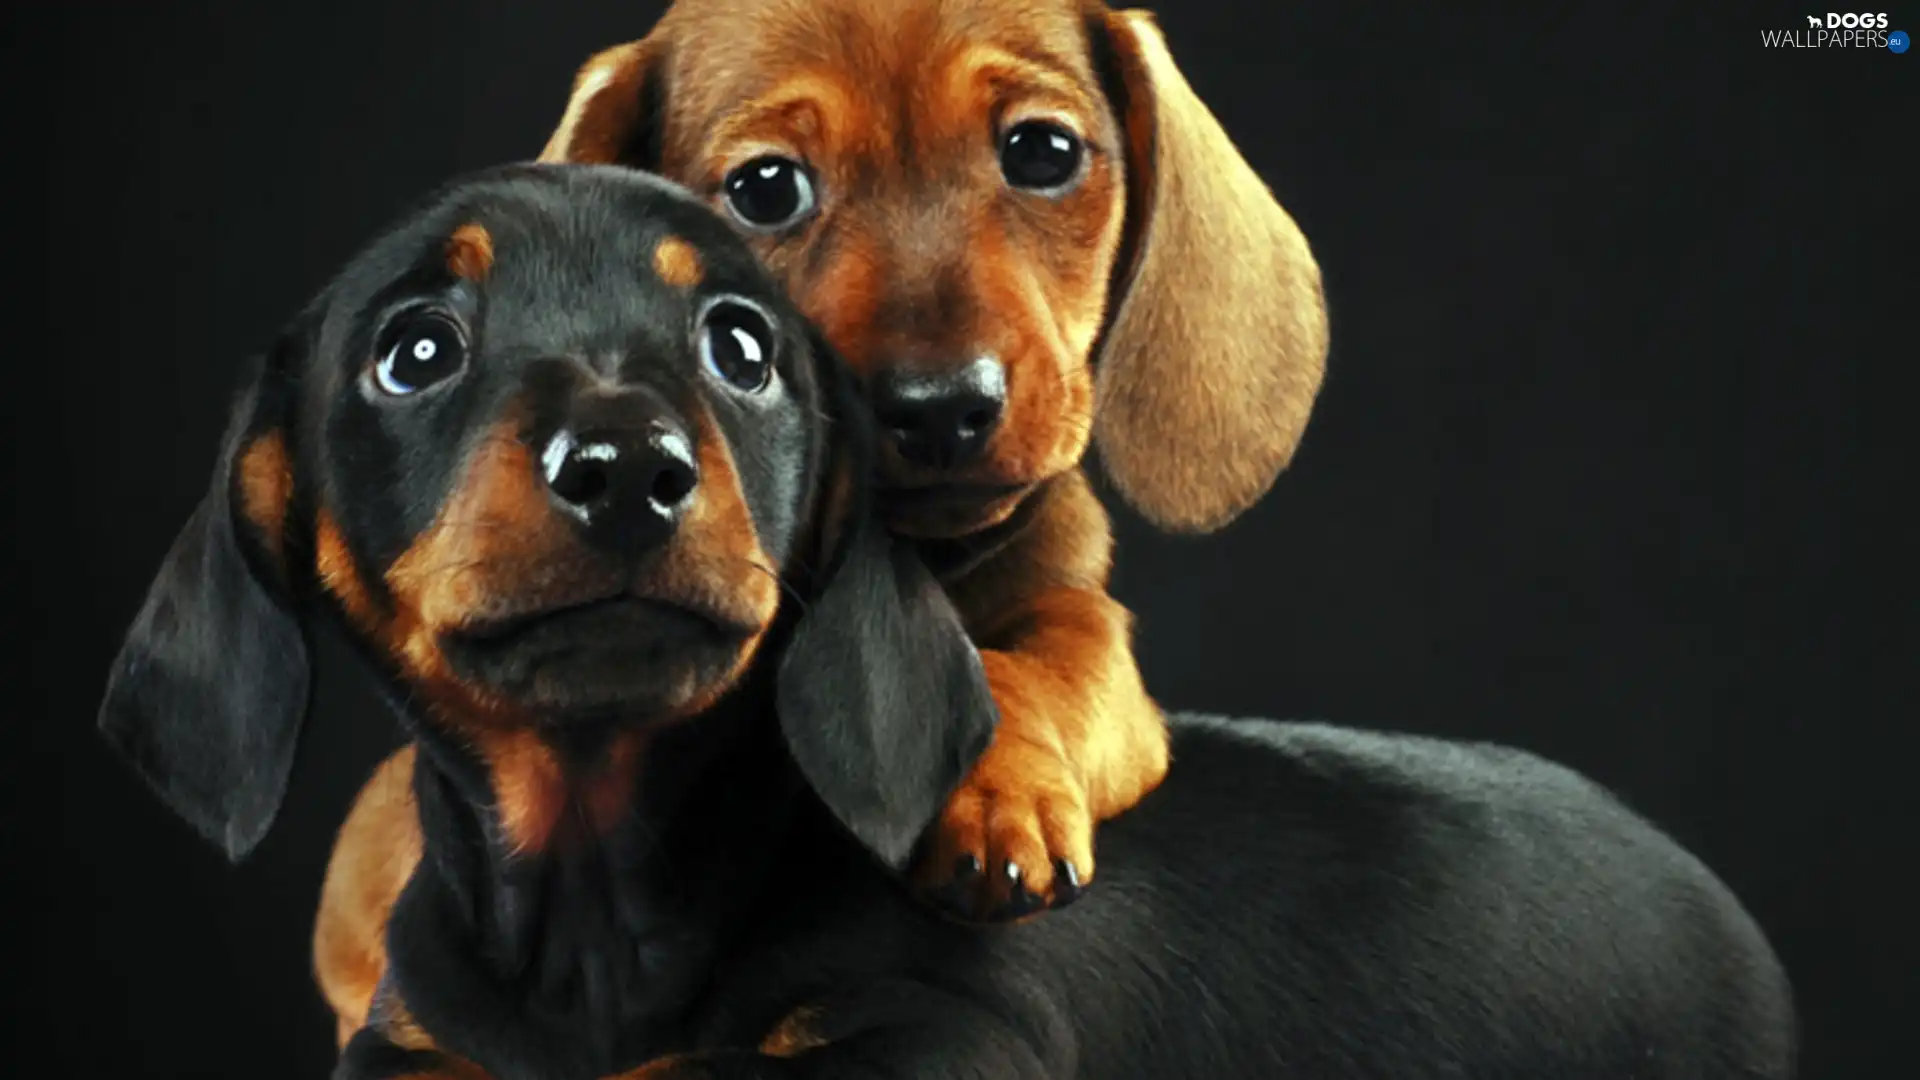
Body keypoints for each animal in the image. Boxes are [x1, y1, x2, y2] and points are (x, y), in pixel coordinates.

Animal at [101, 166, 1781, 1076]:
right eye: (414, 350)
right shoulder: (411, 1047)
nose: (630, 469)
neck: (598, 901)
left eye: (742, 344)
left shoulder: (961, 1037)